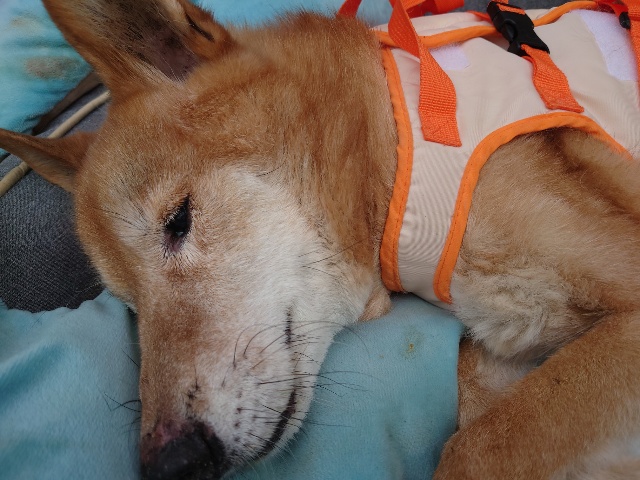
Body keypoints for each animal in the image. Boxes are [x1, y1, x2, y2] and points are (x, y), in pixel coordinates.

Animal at [2, 0, 640, 478]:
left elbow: (475, 450)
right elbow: (479, 401)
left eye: (178, 221)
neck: (395, 141)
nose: (170, 464)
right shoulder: (510, 343)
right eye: (129, 304)